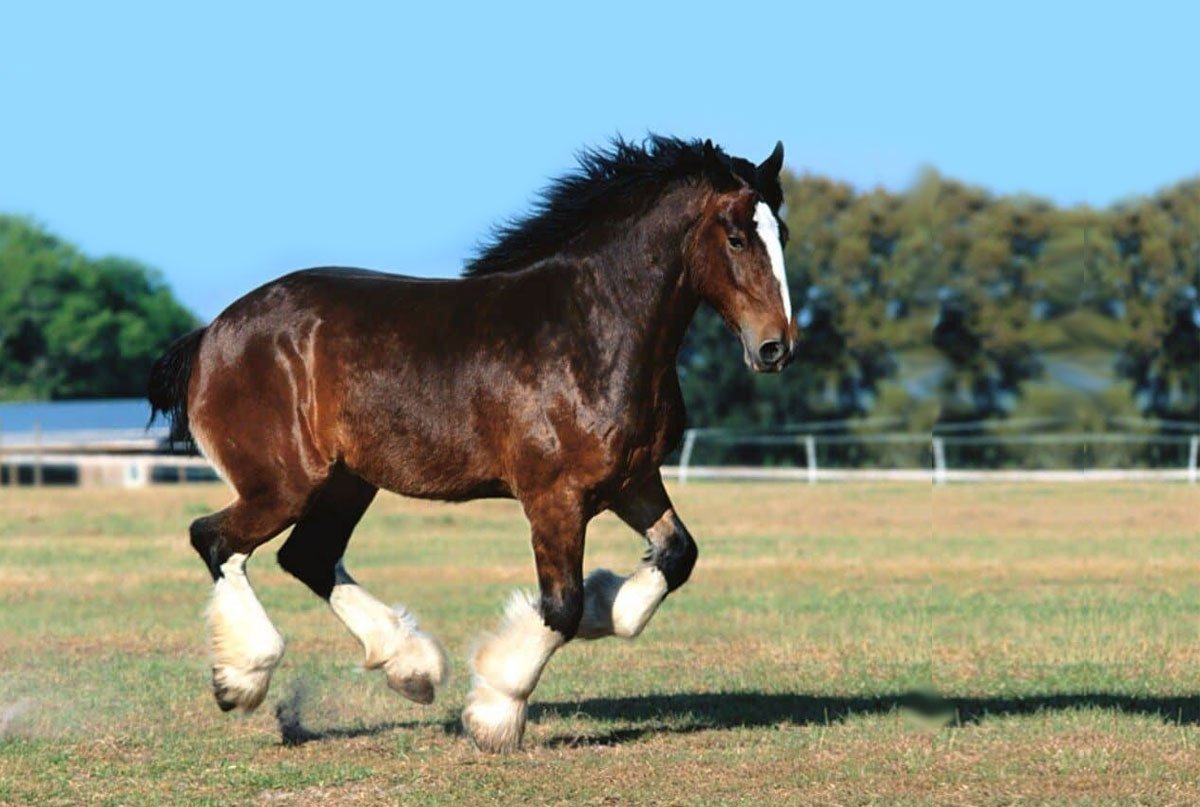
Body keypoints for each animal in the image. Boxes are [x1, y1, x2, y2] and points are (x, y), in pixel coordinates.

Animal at [147, 135, 795, 752]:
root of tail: (212, 335)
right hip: (284, 484)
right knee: (216, 540)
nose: (775, 347)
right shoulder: (554, 498)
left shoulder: (632, 481)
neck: (592, 332)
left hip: (345, 483)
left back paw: (411, 668)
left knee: (304, 556)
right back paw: (242, 678)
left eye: (782, 232)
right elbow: (560, 606)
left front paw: (605, 603)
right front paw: (495, 713)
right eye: (737, 237)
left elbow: (674, 557)